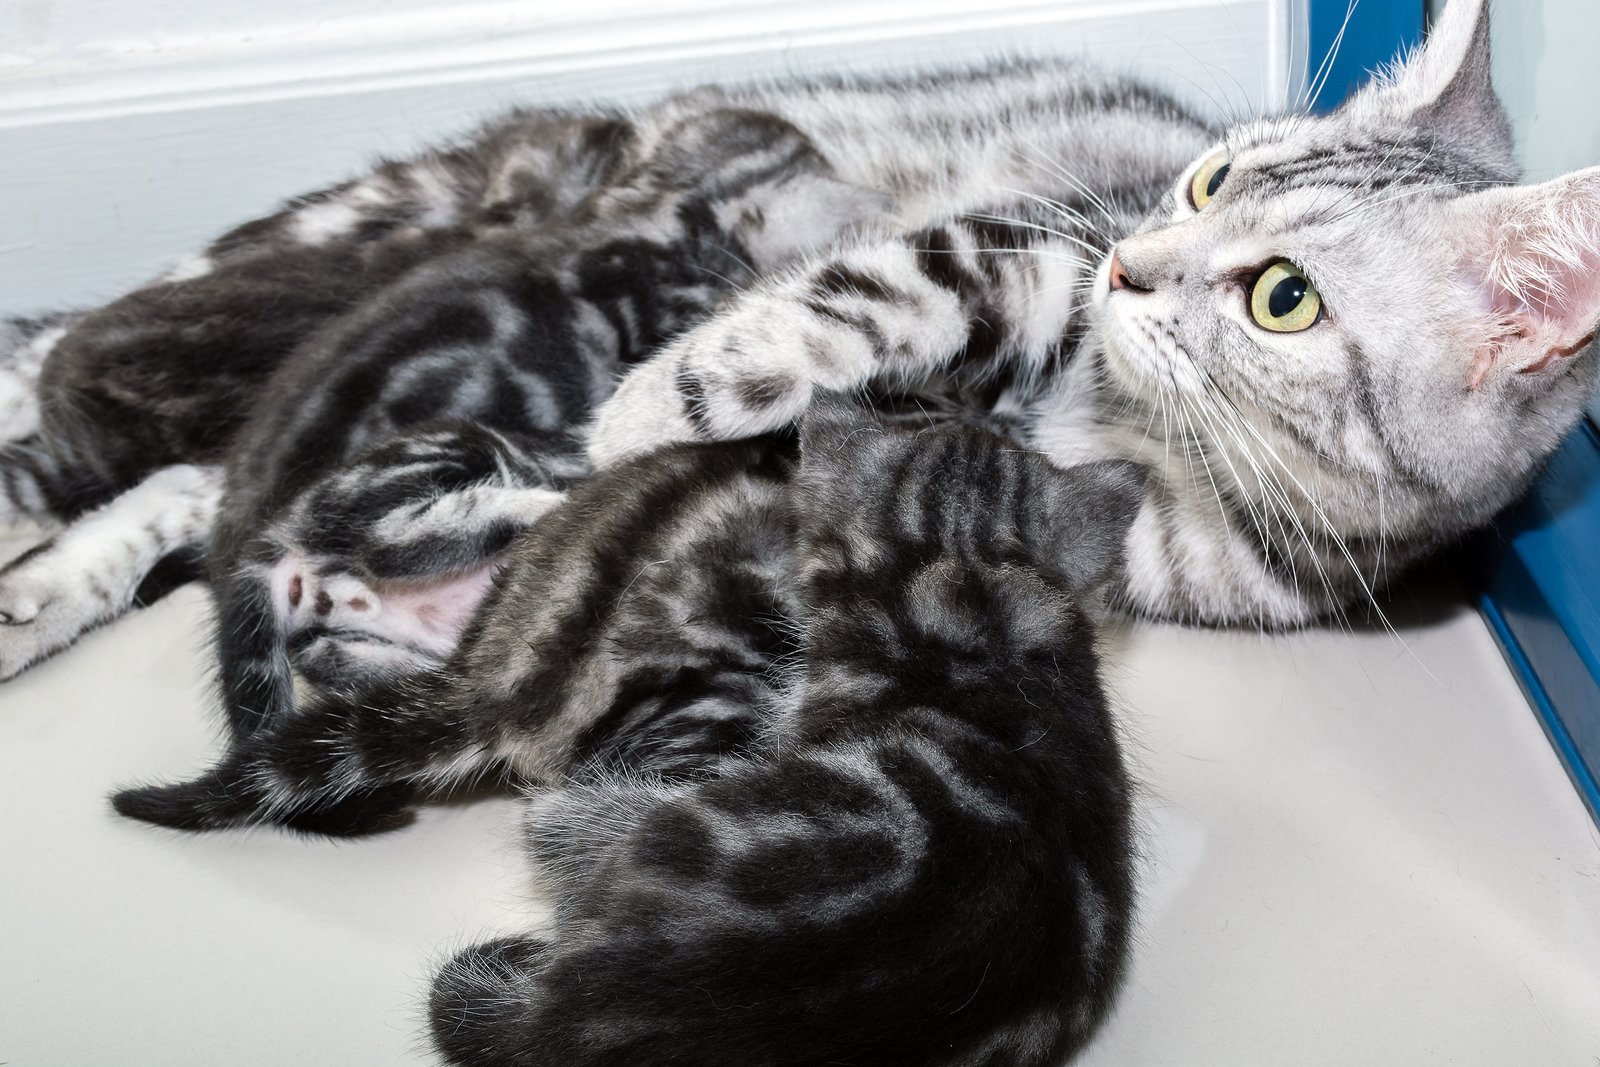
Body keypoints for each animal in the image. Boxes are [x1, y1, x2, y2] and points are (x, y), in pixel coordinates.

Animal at [0, 0, 1593, 716]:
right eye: (1203, 183)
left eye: (1282, 298)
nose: (1139, 260)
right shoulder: (1028, 244)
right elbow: (880, 293)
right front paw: (670, 396)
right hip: (382, 212)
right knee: (72, 375)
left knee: (200, 490)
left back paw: (45, 586)